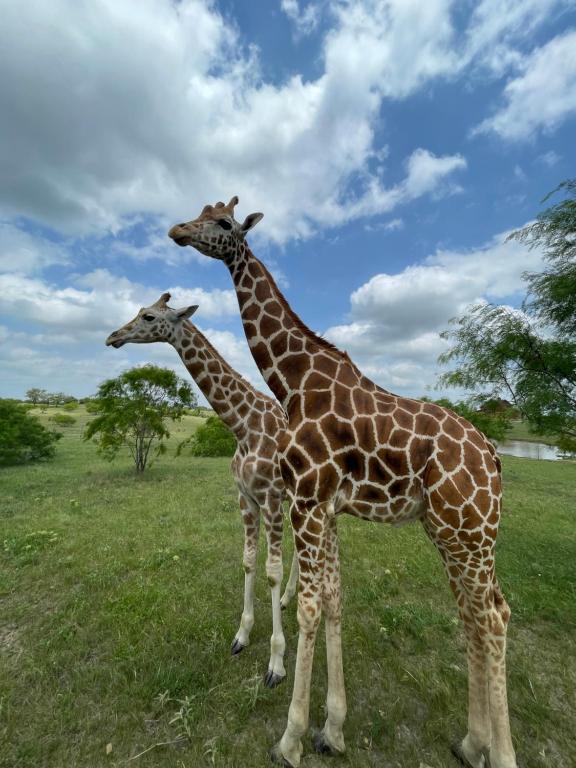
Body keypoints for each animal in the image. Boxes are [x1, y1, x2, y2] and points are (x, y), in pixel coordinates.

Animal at [105, 292, 299, 687]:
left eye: (148, 317)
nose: (113, 336)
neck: (243, 426)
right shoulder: (246, 498)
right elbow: (248, 562)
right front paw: (242, 635)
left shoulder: (270, 498)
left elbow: (270, 571)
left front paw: (276, 662)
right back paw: (290, 599)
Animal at [168, 198, 518, 768]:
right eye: (199, 211)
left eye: (222, 222)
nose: (177, 230)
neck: (292, 383)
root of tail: (492, 455)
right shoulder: (321, 506)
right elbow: (331, 598)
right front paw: (330, 729)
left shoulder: (307, 501)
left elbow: (311, 606)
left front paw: (290, 738)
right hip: (449, 530)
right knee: (473, 612)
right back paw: (472, 742)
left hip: (472, 530)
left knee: (494, 615)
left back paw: (500, 752)